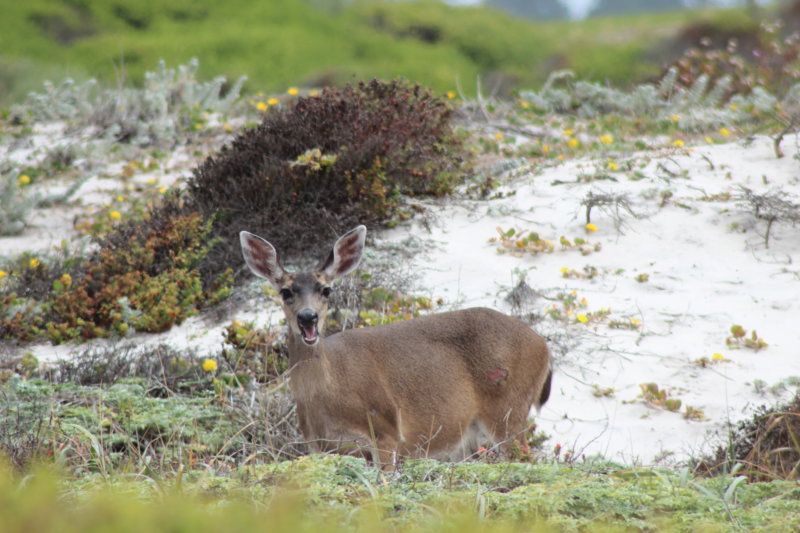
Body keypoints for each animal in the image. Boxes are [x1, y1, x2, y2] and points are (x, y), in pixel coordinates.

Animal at [239, 225, 552, 467]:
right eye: (286, 291)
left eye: (326, 289)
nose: (308, 317)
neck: (327, 397)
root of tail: (543, 346)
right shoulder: (321, 445)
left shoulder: (385, 430)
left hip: (509, 405)